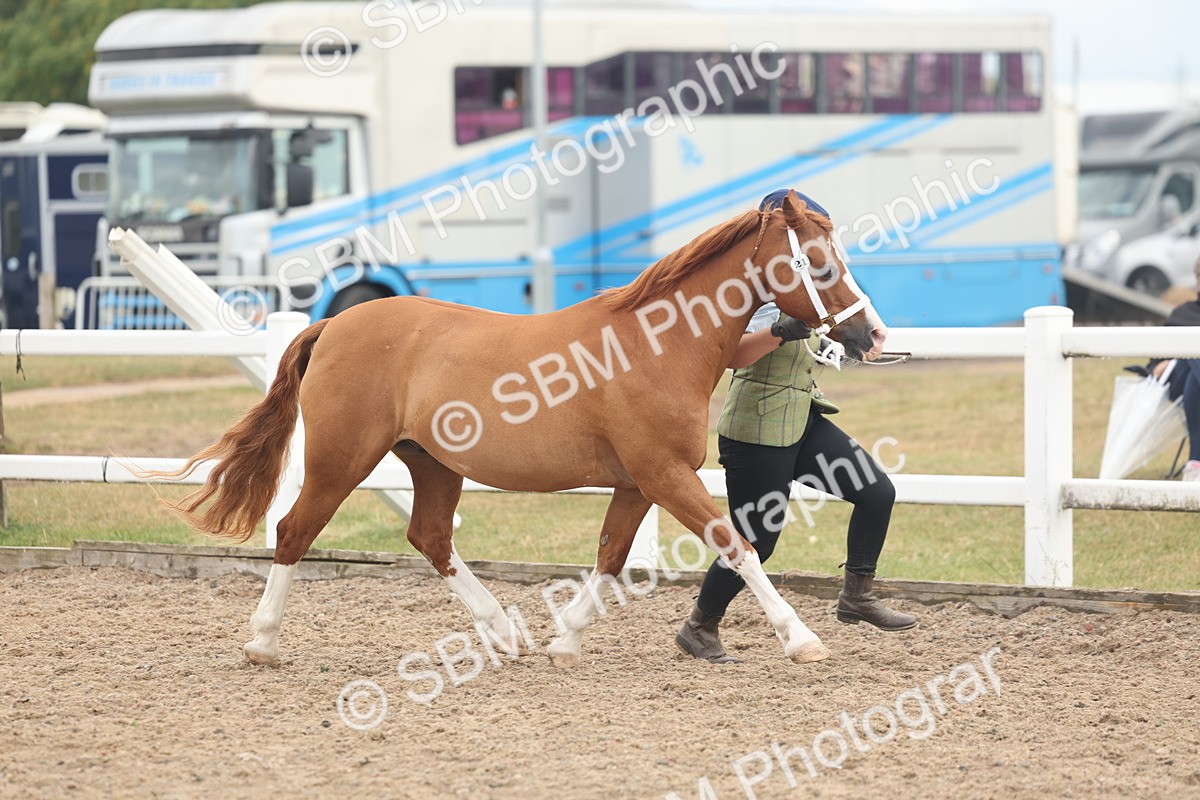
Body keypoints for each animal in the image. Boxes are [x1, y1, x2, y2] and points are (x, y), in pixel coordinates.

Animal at [153, 190, 887, 667]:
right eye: (822, 264)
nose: (872, 336)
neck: (658, 344)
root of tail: (334, 322)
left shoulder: (638, 483)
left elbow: (612, 556)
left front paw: (564, 640)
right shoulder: (664, 474)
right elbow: (738, 546)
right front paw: (802, 639)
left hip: (431, 462)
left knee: (431, 537)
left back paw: (503, 633)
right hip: (342, 460)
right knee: (293, 532)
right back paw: (263, 642)